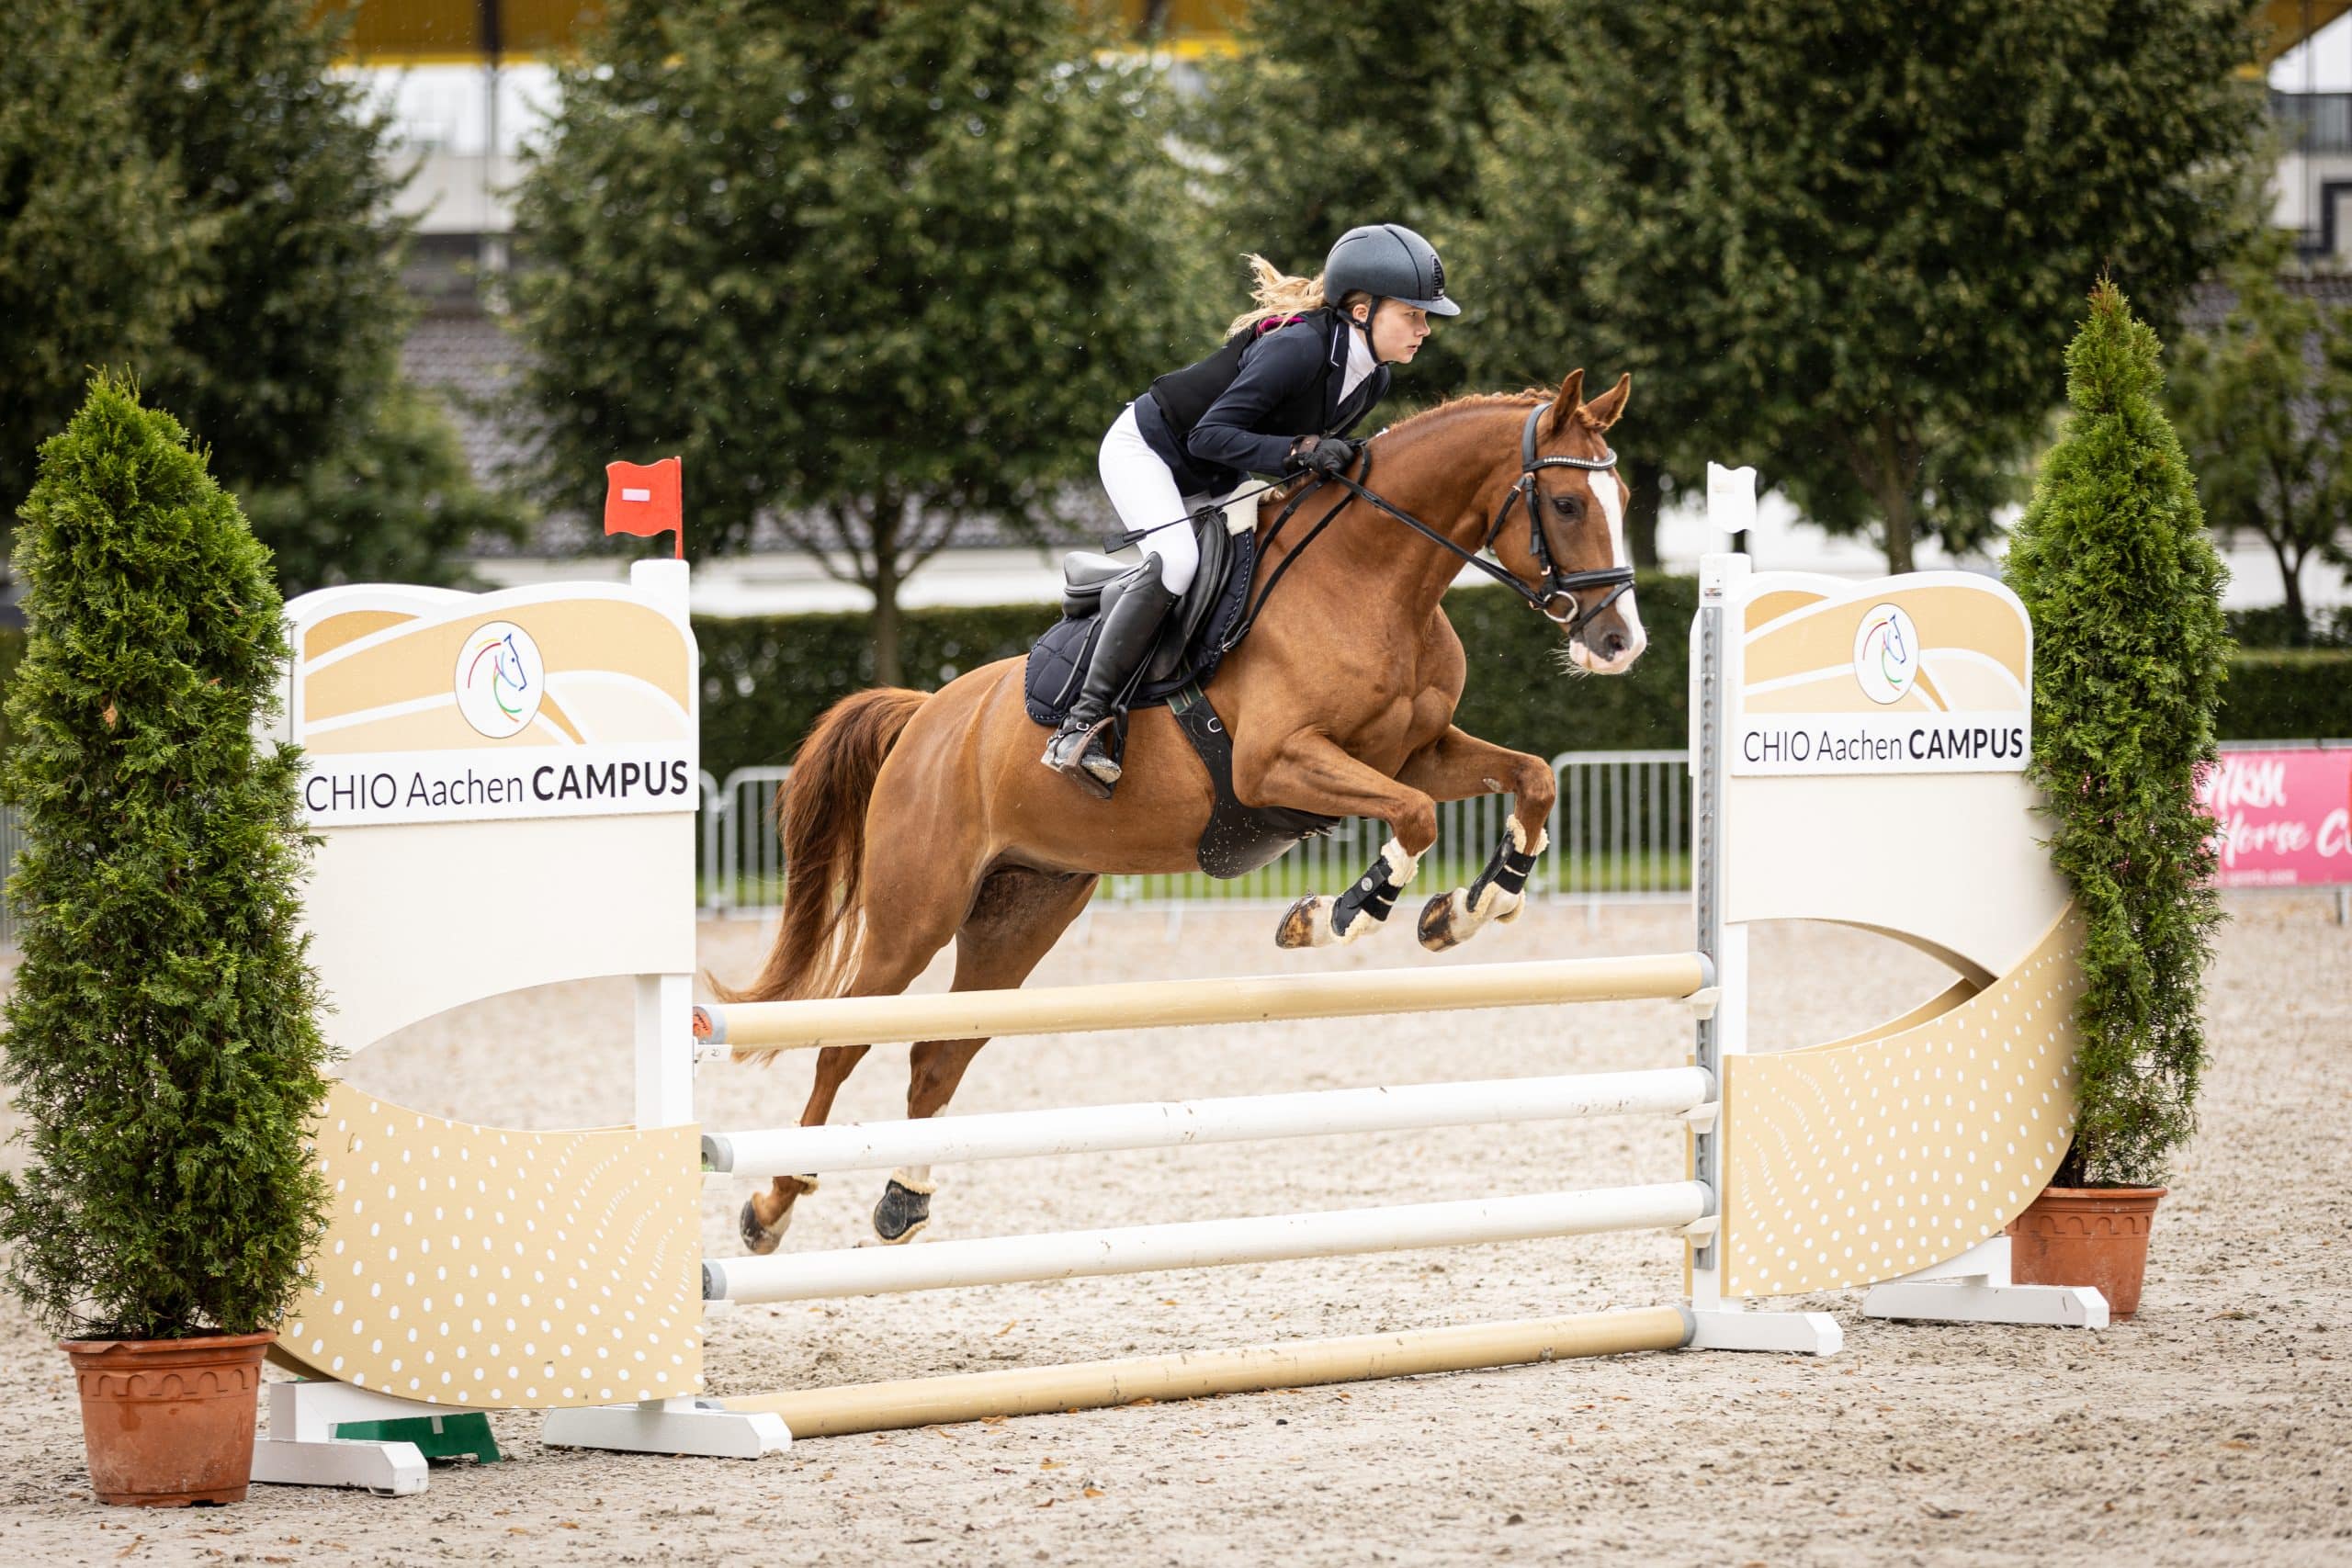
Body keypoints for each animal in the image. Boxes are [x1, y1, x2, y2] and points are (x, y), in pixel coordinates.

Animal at [724, 368, 1646, 1250]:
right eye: (1567, 503)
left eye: (1627, 500)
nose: (1620, 642)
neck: (1373, 580)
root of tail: (926, 715)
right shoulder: (1279, 765)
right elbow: (1415, 816)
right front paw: (1338, 913)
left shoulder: (1418, 751)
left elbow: (1532, 778)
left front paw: (1473, 904)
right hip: (913, 913)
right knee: (844, 1038)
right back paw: (772, 1205)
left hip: (1021, 911)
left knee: (939, 1052)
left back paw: (903, 1198)